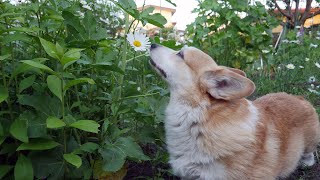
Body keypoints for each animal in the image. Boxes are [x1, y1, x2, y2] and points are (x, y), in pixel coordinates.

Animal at [149, 44, 320, 180]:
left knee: (310, 153)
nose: (152, 43)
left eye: (180, 54)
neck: (198, 117)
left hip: (310, 140)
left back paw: (305, 162)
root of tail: (299, 97)